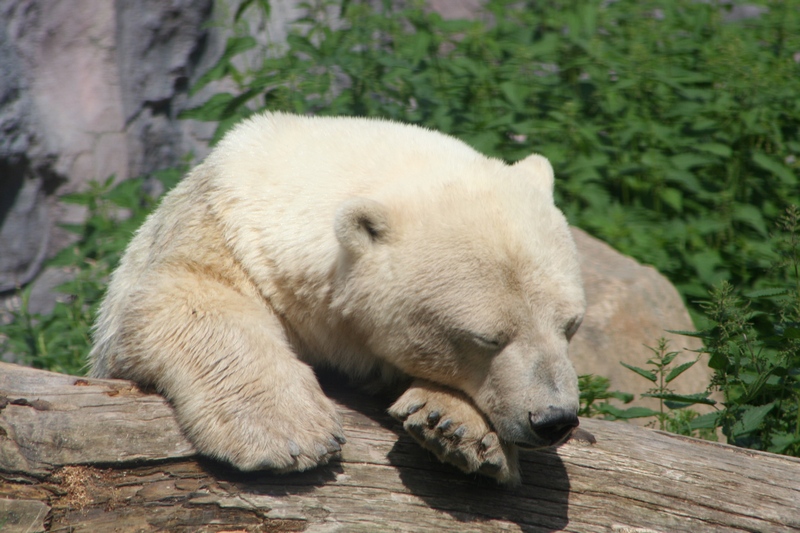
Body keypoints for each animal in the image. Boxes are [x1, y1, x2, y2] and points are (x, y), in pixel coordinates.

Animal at [89, 111, 588, 482]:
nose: (554, 420)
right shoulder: (219, 233)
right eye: (488, 338)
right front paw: (287, 434)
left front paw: (457, 427)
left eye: (571, 325)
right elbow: (186, 299)